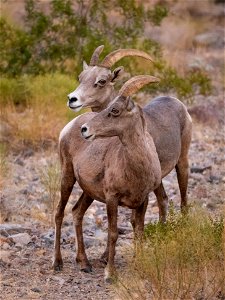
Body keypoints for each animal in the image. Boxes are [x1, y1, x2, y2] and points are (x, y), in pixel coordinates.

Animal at [55, 75, 163, 282]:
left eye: (114, 110)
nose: (85, 129)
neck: (136, 168)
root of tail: (68, 128)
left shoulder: (143, 200)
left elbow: (139, 231)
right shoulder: (112, 199)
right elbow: (112, 234)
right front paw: (110, 273)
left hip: (88, 192)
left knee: (77, 212)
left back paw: (84, 263)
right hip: (67, 177)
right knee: (59, 213)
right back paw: (57, 263)